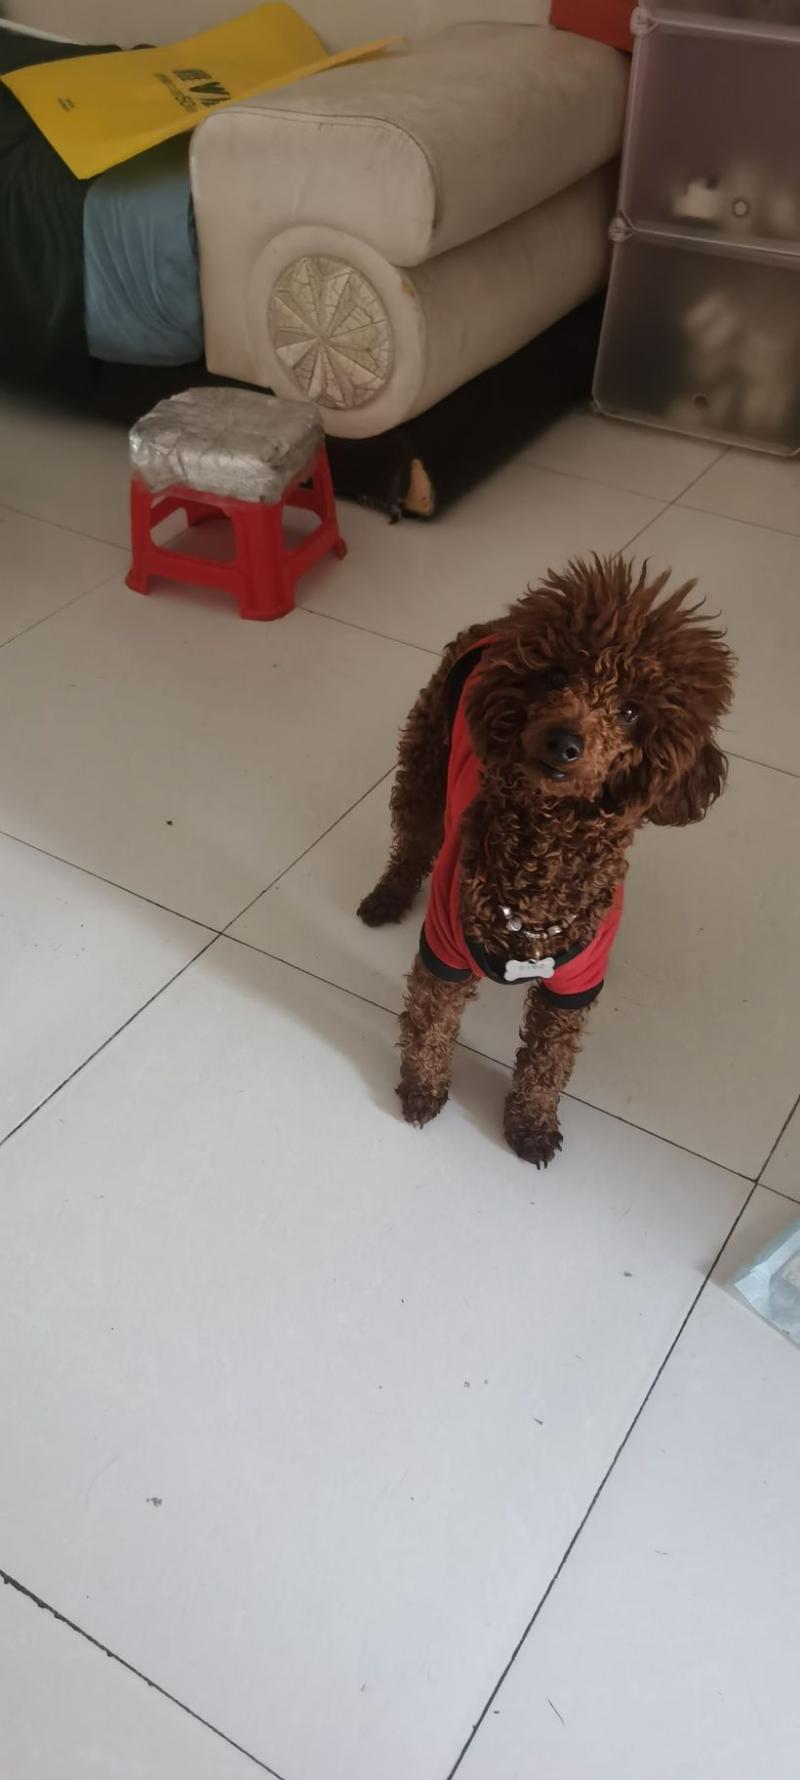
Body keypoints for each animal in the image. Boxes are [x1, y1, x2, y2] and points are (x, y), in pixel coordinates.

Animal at [358, 554, 734, 1166]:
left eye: (631, 711)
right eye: (557, 677)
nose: (564, 741)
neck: (542, 856)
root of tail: (497, 625)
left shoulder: (572, 990)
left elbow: (545, 1064)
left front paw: (531, 1123)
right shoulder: (444, 947)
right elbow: (431, 1024)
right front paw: (422, 1089)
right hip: (425, 763)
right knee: (412, 840)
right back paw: (387, 895)